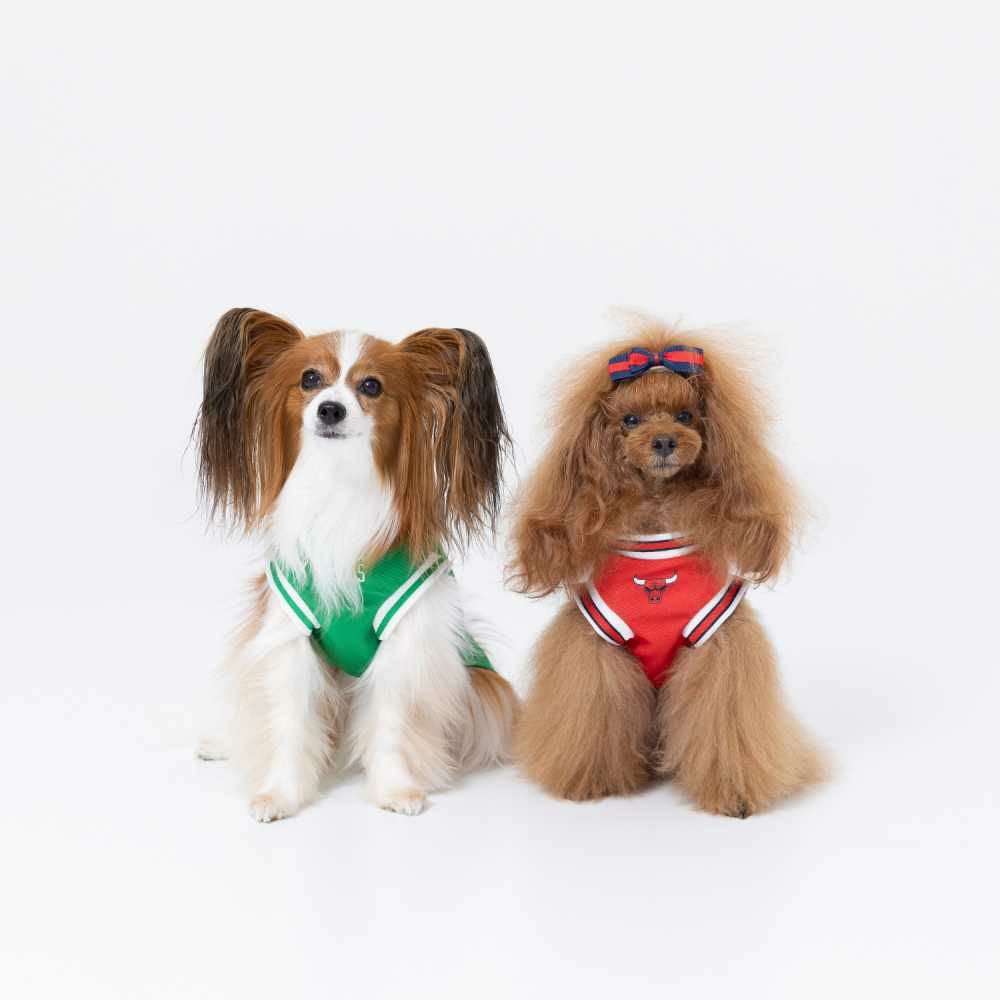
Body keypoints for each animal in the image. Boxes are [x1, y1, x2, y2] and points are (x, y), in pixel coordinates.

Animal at [195, 309, 518, 820]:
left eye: (371, 386)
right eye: (310, 379)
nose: (330, 409)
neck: (339, 484)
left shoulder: (404, 643)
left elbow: (391, 722)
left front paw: (395, 789)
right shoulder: (290, 637)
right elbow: (289, 721)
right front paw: (280, 794)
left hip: (484, 686)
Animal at [510, 320, 824, 816]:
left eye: (686, 415)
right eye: (630, 420)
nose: (663, 441)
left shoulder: (718, 646)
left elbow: (725, 724)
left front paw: (734, 795)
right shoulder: (597, 650)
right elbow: (594, 716)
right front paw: (590, 782)